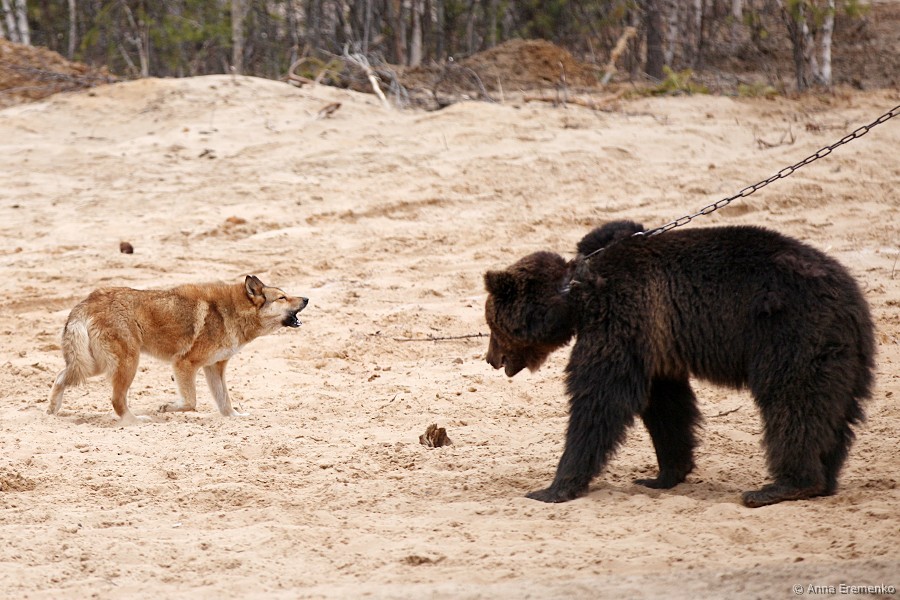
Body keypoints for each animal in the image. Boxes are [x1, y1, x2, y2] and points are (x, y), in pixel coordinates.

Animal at [47, 275, 308, 424]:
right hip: (126, 364)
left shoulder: (214, 368)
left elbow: (225, 402)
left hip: (95, 365)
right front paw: (166, 408)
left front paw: (236, 418)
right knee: (117, 400)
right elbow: (191, 402)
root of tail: (88, 301)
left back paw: (52, 410)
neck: (232, 313)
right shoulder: (184, 364)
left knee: (59, 378)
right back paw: (136, 421)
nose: (306, 299)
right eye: (282, 297)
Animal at [483, 220, 875, 507]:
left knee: (793, 402)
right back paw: (824, 479)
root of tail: (851, 294)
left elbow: (601, 398)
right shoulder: (656, 342)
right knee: (835, 411)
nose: (490, 359)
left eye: (491, 324)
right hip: (841, 352)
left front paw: (553, 487)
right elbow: (666, 407)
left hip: (788, 331)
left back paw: (782, 486)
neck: (578, 297)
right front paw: (662, 474)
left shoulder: (622, 317)